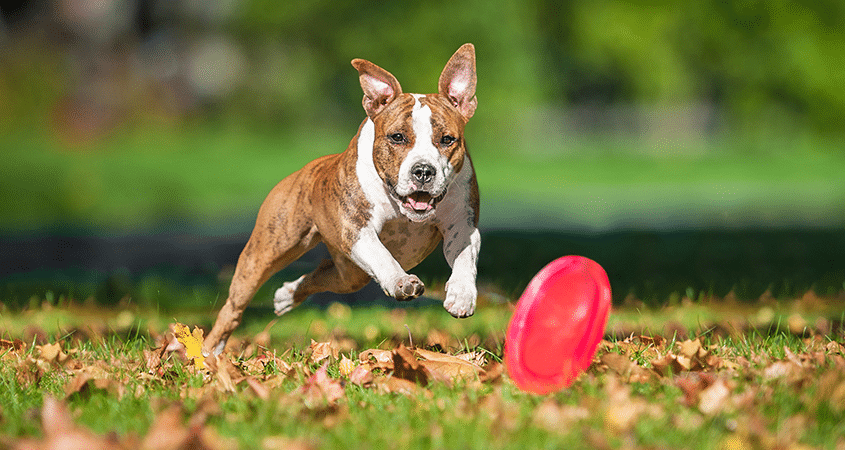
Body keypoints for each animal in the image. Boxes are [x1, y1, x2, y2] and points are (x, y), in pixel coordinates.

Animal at [203, 44, 482, 356]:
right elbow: (382, 256)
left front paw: (461, 295)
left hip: (350, 275)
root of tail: (306, 170)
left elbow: (464, 259)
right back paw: (208, 353)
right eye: (397, 137)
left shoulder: (463, 226)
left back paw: (287, 295)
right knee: (233, 307)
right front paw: (400, 281)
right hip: (264, 253)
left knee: (322, 274)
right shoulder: (356, 229)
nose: (423, 171)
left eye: (447, 140)